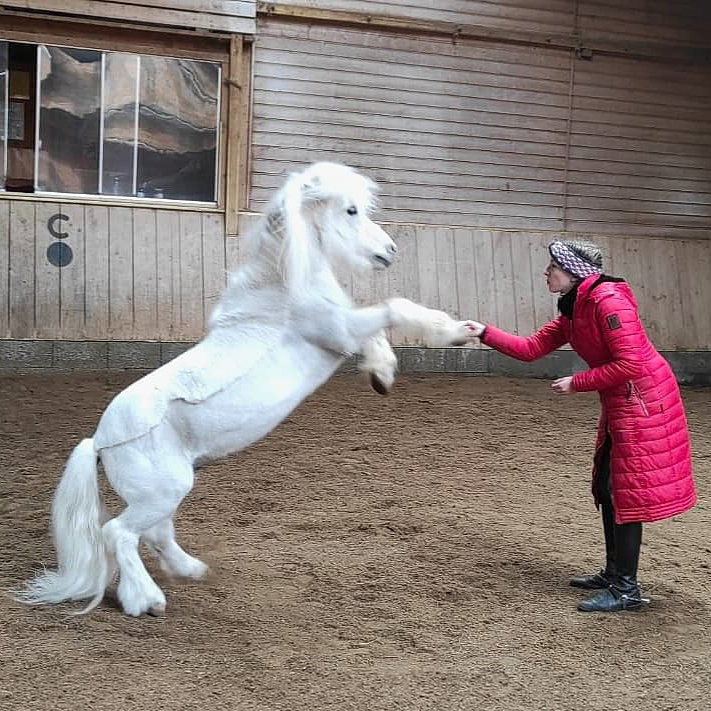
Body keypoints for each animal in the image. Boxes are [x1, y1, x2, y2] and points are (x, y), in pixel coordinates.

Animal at [17, 162, 474, 617]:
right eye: (350, 210)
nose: (390, 250)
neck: (283, 292)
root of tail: (99, 441)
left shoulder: (345, 334)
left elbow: (380, 332)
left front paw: (383, 374)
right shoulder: (338, 332)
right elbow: (395, 308)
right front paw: (456, 333)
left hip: (163, 492)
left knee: (154, 535)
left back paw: (191, 570)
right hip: (162, 491)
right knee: (118, 533)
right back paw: (146, 601)